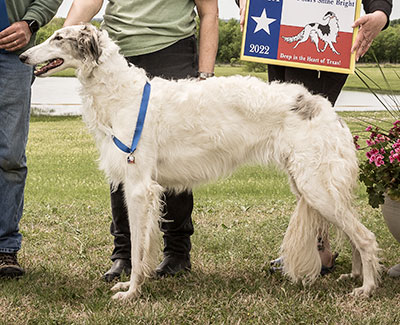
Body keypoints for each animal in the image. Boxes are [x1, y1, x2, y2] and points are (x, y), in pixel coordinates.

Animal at [20, 24, 380, 298]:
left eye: (58, 38)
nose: (22, 55)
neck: (123, 94)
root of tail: (327, 110)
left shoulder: (139, 187)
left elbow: (138, 248)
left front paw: (132, 292)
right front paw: (130, 284)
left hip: (316, 186)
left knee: (366, 236)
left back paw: (366, 288)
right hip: (312, 186)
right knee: (354, 233)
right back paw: (354, 276)